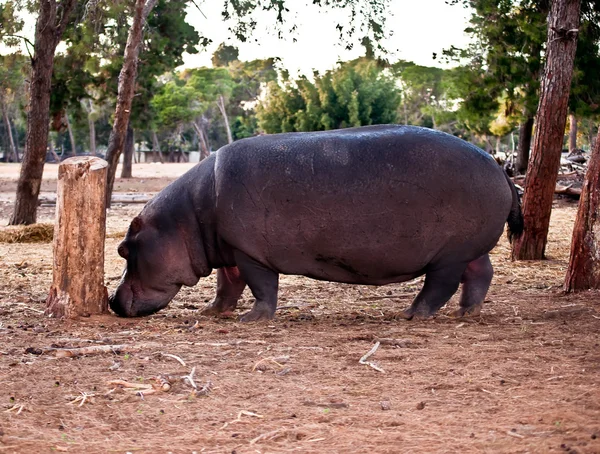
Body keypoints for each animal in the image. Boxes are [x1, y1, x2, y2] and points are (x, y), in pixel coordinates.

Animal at [110, 124, 524, 320]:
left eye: (123, 249)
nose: (112, 301)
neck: (187, 218)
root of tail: (499, 168)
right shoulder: (229, 250)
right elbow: (228, 284)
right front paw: (212, 312)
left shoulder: (250, 253)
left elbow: (261, 286)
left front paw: (251, 319)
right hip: (467, 248)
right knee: (480, 273)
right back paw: (467, 311)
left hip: (448, 253)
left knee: (441, 284)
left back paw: (411, 314)